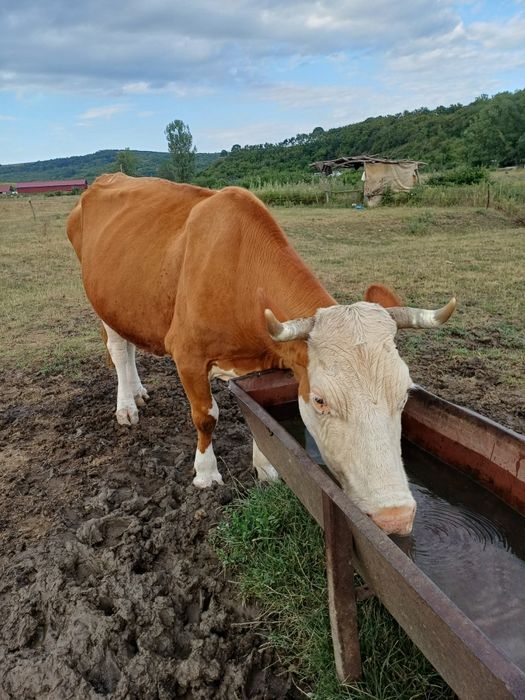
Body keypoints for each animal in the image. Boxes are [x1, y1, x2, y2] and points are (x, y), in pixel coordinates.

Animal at [67, 173, 456, 535]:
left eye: (404, 393)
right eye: (320, 400)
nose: (396, 517)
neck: (239, 272)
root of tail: (107, 178)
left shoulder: (270, 361)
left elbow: (257, 412)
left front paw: (267, 467)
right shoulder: (187, 353)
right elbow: (205, 416)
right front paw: (206, 474)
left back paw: (137, 392)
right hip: (101, 301)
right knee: (119, 350)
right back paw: (126, 407)